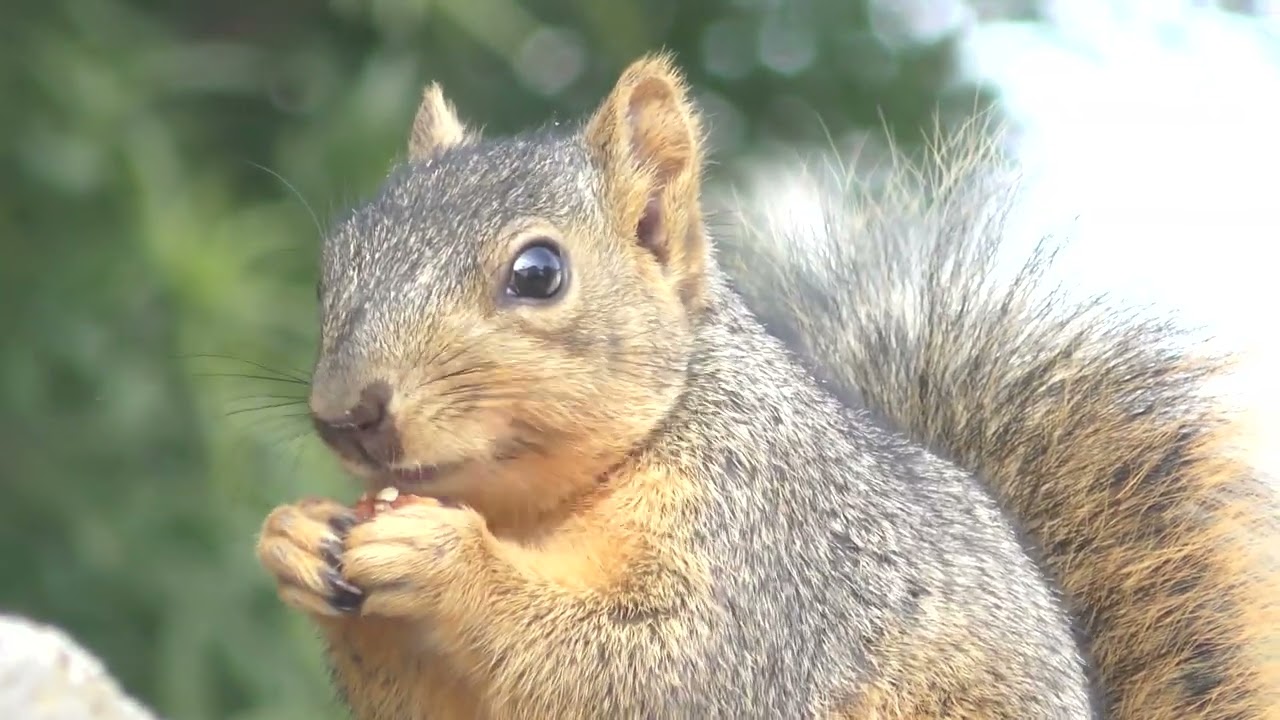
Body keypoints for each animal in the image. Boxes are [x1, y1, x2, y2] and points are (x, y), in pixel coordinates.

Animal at [254, 53, 1280, 719]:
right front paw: (296, 538)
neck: (534, 507)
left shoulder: (772, 555)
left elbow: (666, 668)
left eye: (539, 273)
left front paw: (445, 560)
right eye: (333, 262)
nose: (345, 412)